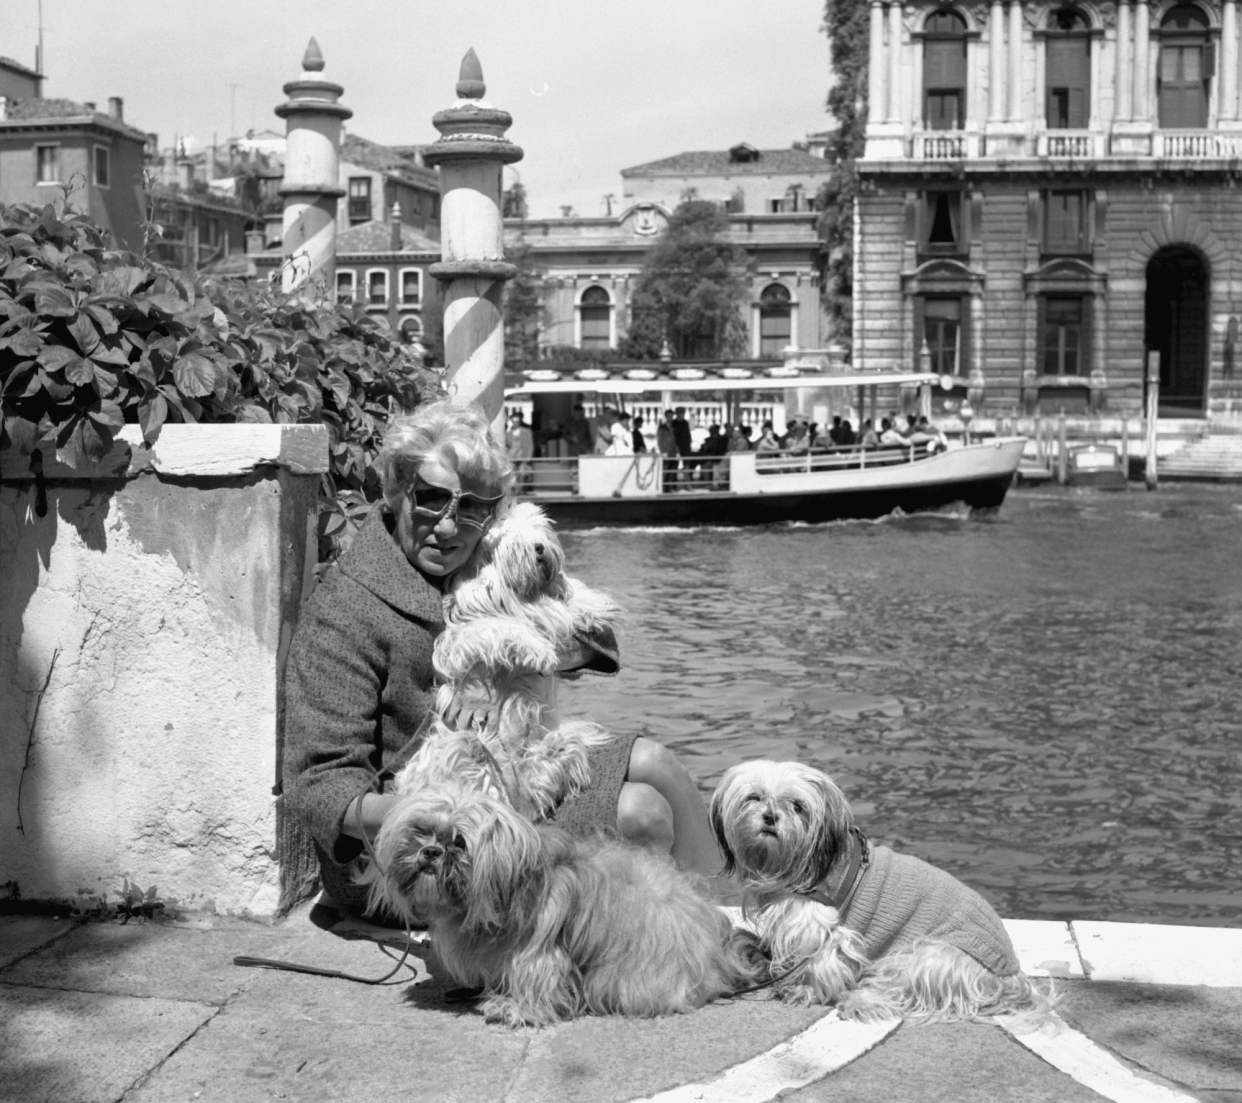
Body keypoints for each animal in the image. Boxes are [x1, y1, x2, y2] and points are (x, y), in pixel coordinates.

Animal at [365, 785, 765, 1023]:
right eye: (421, 831)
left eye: (460, 842)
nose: (430, 852)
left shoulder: (539, 950)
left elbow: (535, 979)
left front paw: (513, 1007)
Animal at [715, 760, 1053, 1023]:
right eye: (754, 797)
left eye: (797, 806)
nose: (770, 816)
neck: (799, 862)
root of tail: (1010, 975)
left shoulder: (825, 928)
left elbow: (819, 964)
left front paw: (803, 989)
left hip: (926, 956)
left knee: (900, 991)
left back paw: (860, 1002)